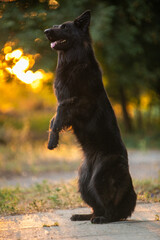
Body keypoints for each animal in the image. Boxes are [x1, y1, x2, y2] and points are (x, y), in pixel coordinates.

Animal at [44, 9, 136, 223]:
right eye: (56, 25)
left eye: (64, 27)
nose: (45, 31)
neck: (73, 60)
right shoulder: (67, 102)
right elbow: (54, 118)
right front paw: (52, 136)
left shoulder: (83, 102)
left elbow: (60, 112)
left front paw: (53, 138)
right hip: (84, 181)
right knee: (97, 207)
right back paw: (84, 215)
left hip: (100, 178)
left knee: (111, 209)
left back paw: (104, 219)